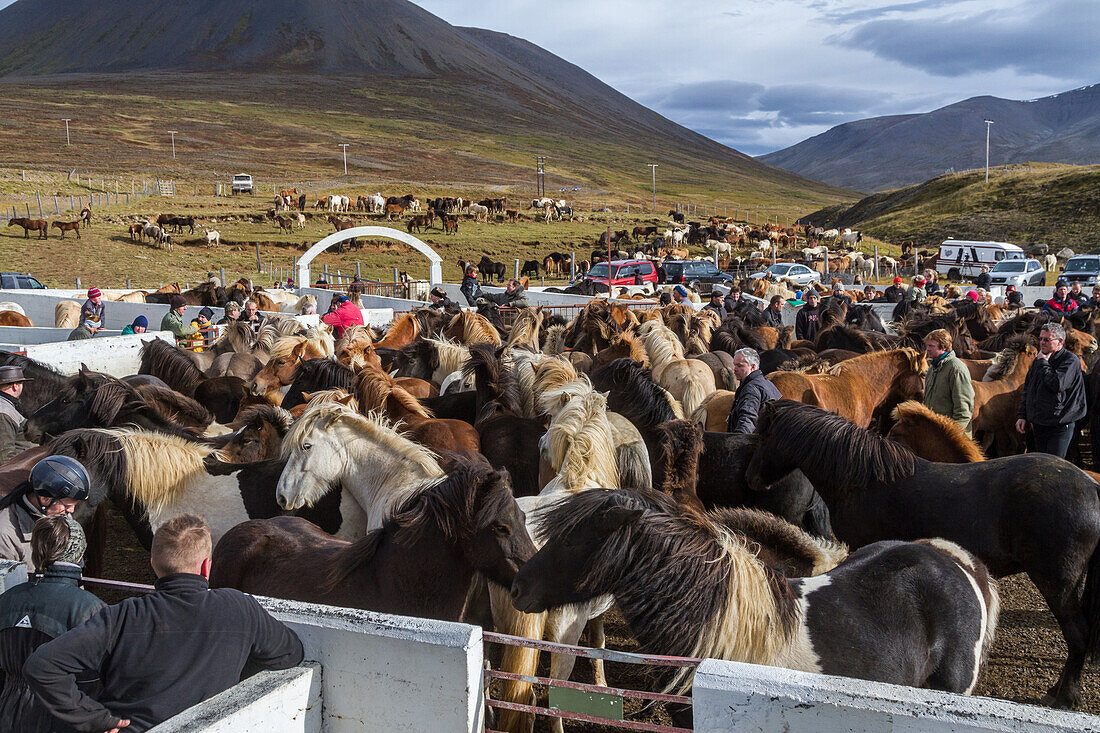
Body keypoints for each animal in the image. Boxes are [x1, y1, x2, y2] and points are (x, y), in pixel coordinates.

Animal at [752, 400, 1100, 708]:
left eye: (762, 435)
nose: (754, 479)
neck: (864, 481)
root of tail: (1091, 487)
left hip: (1057, 580)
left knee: (1077, 633)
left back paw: (1065, 697)